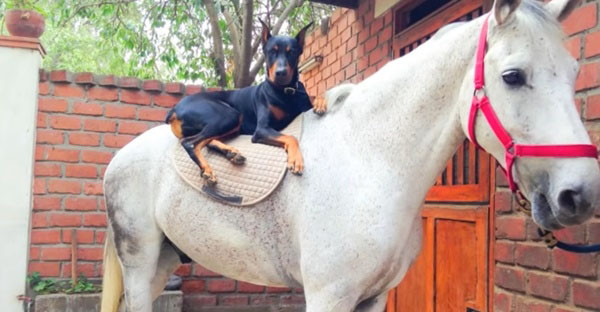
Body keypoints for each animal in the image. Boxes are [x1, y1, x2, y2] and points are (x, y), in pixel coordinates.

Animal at [164, 21, 314, 185]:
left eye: (291, 52)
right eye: (271, 52)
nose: (280, 73)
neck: (284, 92)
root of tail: (175, 109)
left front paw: (320, 103)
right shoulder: (261, 130)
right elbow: (291, 137)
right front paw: (296, 160)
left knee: (207, 141)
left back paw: (231, 153)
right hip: (230, 115)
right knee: (190, 142)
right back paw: (208, 169)